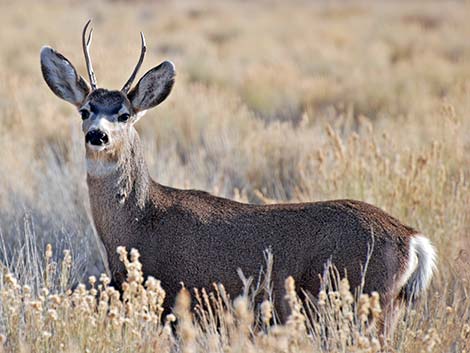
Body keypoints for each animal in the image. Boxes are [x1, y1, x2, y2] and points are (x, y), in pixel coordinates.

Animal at [40, 20, 436, 328]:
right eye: (85, 110)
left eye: (123, 114)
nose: (98, 135)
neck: (140, 220)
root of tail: (411, 238)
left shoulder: (180, 299)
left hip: (364, 301)